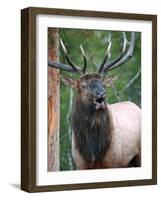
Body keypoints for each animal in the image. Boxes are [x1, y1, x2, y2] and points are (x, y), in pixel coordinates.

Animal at [48, 32, 141, 170]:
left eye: (103, 84)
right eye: (83, 85)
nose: (101, 93)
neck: (93, 151)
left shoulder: (113, 162)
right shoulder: (80, 164)